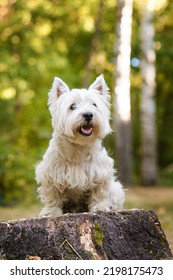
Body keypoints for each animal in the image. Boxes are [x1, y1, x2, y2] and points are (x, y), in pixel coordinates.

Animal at [35, 75, 124, 218]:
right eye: (72, 106)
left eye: (94, 104)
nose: (88, 114)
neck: (79, 146)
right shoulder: (50, 174)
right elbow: (52, 195)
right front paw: (51, 212)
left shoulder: (101, 173)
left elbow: (99, 192)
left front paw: (100, 207)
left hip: (117, 189)